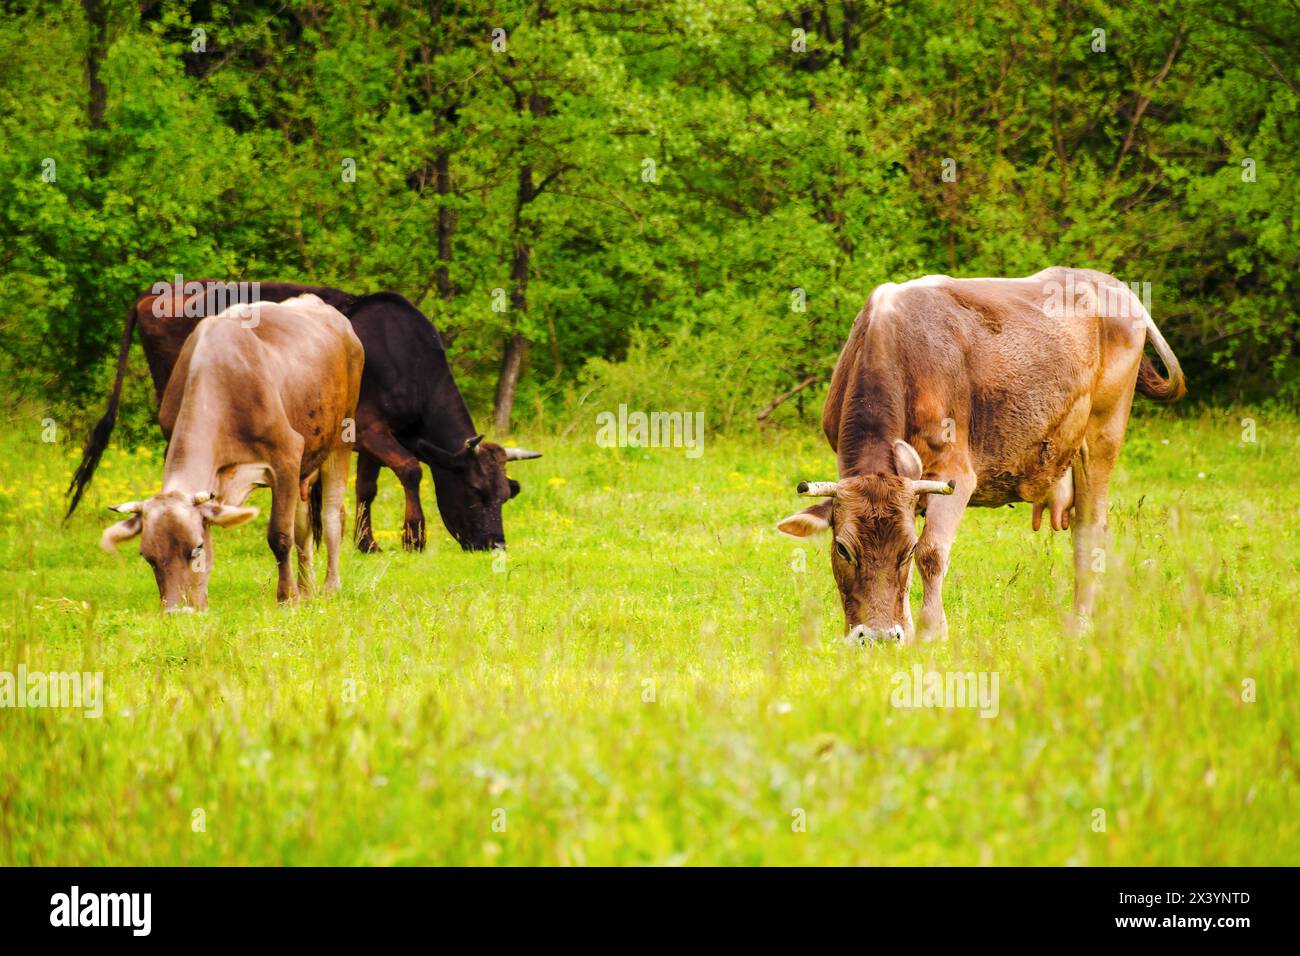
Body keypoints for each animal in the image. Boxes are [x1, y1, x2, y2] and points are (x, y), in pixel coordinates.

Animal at [67, 280, 540, 552]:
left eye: (508, 492)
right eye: (476, 491)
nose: (495, 544)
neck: (404, 355)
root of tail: (153, 296)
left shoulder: (371, 433)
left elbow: (368, 486)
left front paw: (363, 541)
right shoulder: (368, 428)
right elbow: (410, 470)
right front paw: (413, 535)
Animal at [98, 295, 364, 610]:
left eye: (197, 549)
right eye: (147, 557)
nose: (179, 611)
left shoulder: (287, 456)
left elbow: (280, 535)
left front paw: (287, 597)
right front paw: (294, 593)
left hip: (340, 441)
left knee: (331, 515)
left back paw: (330, 586)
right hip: (307, 464)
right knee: (303, 526)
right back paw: (307, 588)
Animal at [777, 268, 1186, 644]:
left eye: (906, 551)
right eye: (843, 549)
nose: (877, 637)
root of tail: (1113, 284)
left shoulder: (956, 473)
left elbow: (932, 553)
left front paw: (931, 632)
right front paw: (906, 630)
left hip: (1103, 432)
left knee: (1090, 529)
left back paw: (1081, 622)